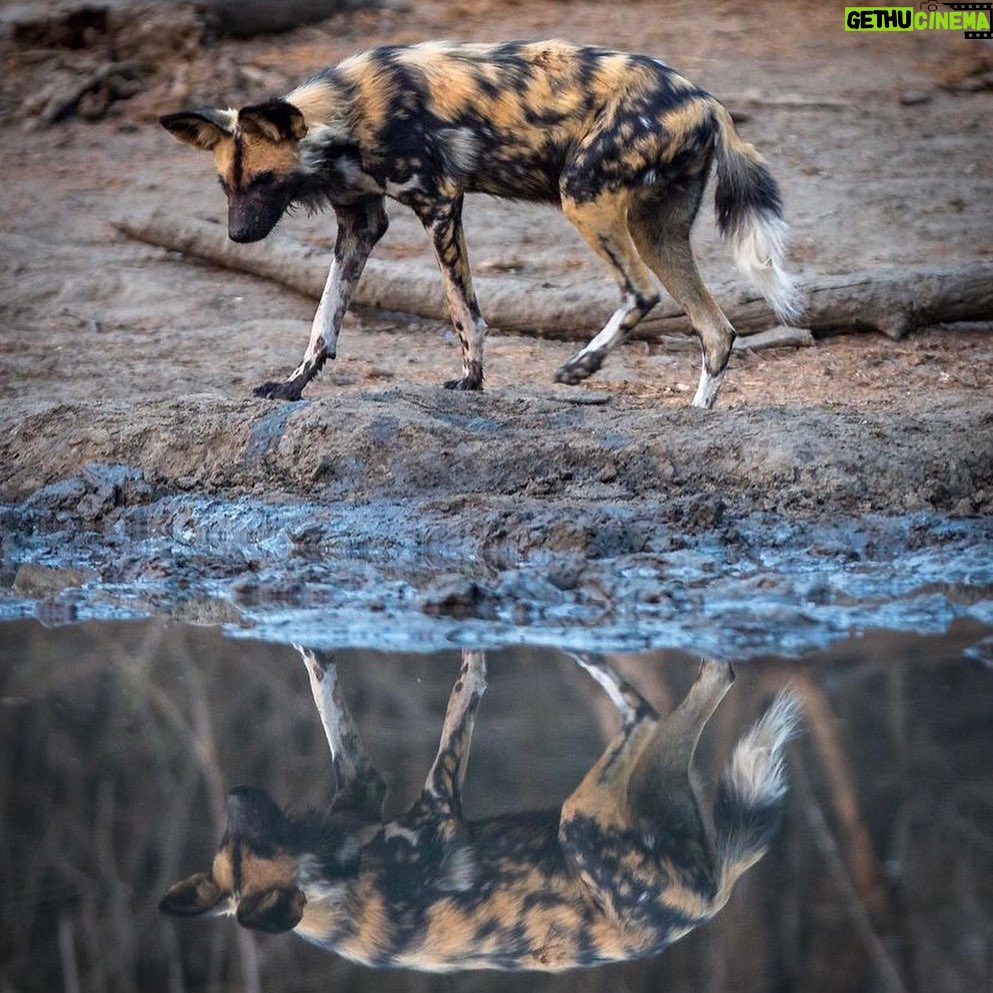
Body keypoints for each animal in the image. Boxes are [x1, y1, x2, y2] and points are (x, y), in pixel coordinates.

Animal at [161, 40, 800, 408]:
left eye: (266, 180)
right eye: (227, 186)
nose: (238, 236)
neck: (346, 117)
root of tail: (707, 100)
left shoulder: (440, 204)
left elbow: (462, 310)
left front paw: (471, 381)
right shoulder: (360, 224)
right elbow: (324, 321)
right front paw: (293, 385)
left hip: (583, 196)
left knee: (640, 293)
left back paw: (582, 366)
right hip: (656, 231)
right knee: (717, 331)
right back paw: (695, 417)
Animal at [163, 652, 800, 968]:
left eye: (237, 841)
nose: (235, 794)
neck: (330, 880)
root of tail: (714, 896)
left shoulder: (364, 784)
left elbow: (323, 684)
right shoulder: (438, 801)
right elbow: (465, 691)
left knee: (700, 685)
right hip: (583, 818)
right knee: (646, 708)